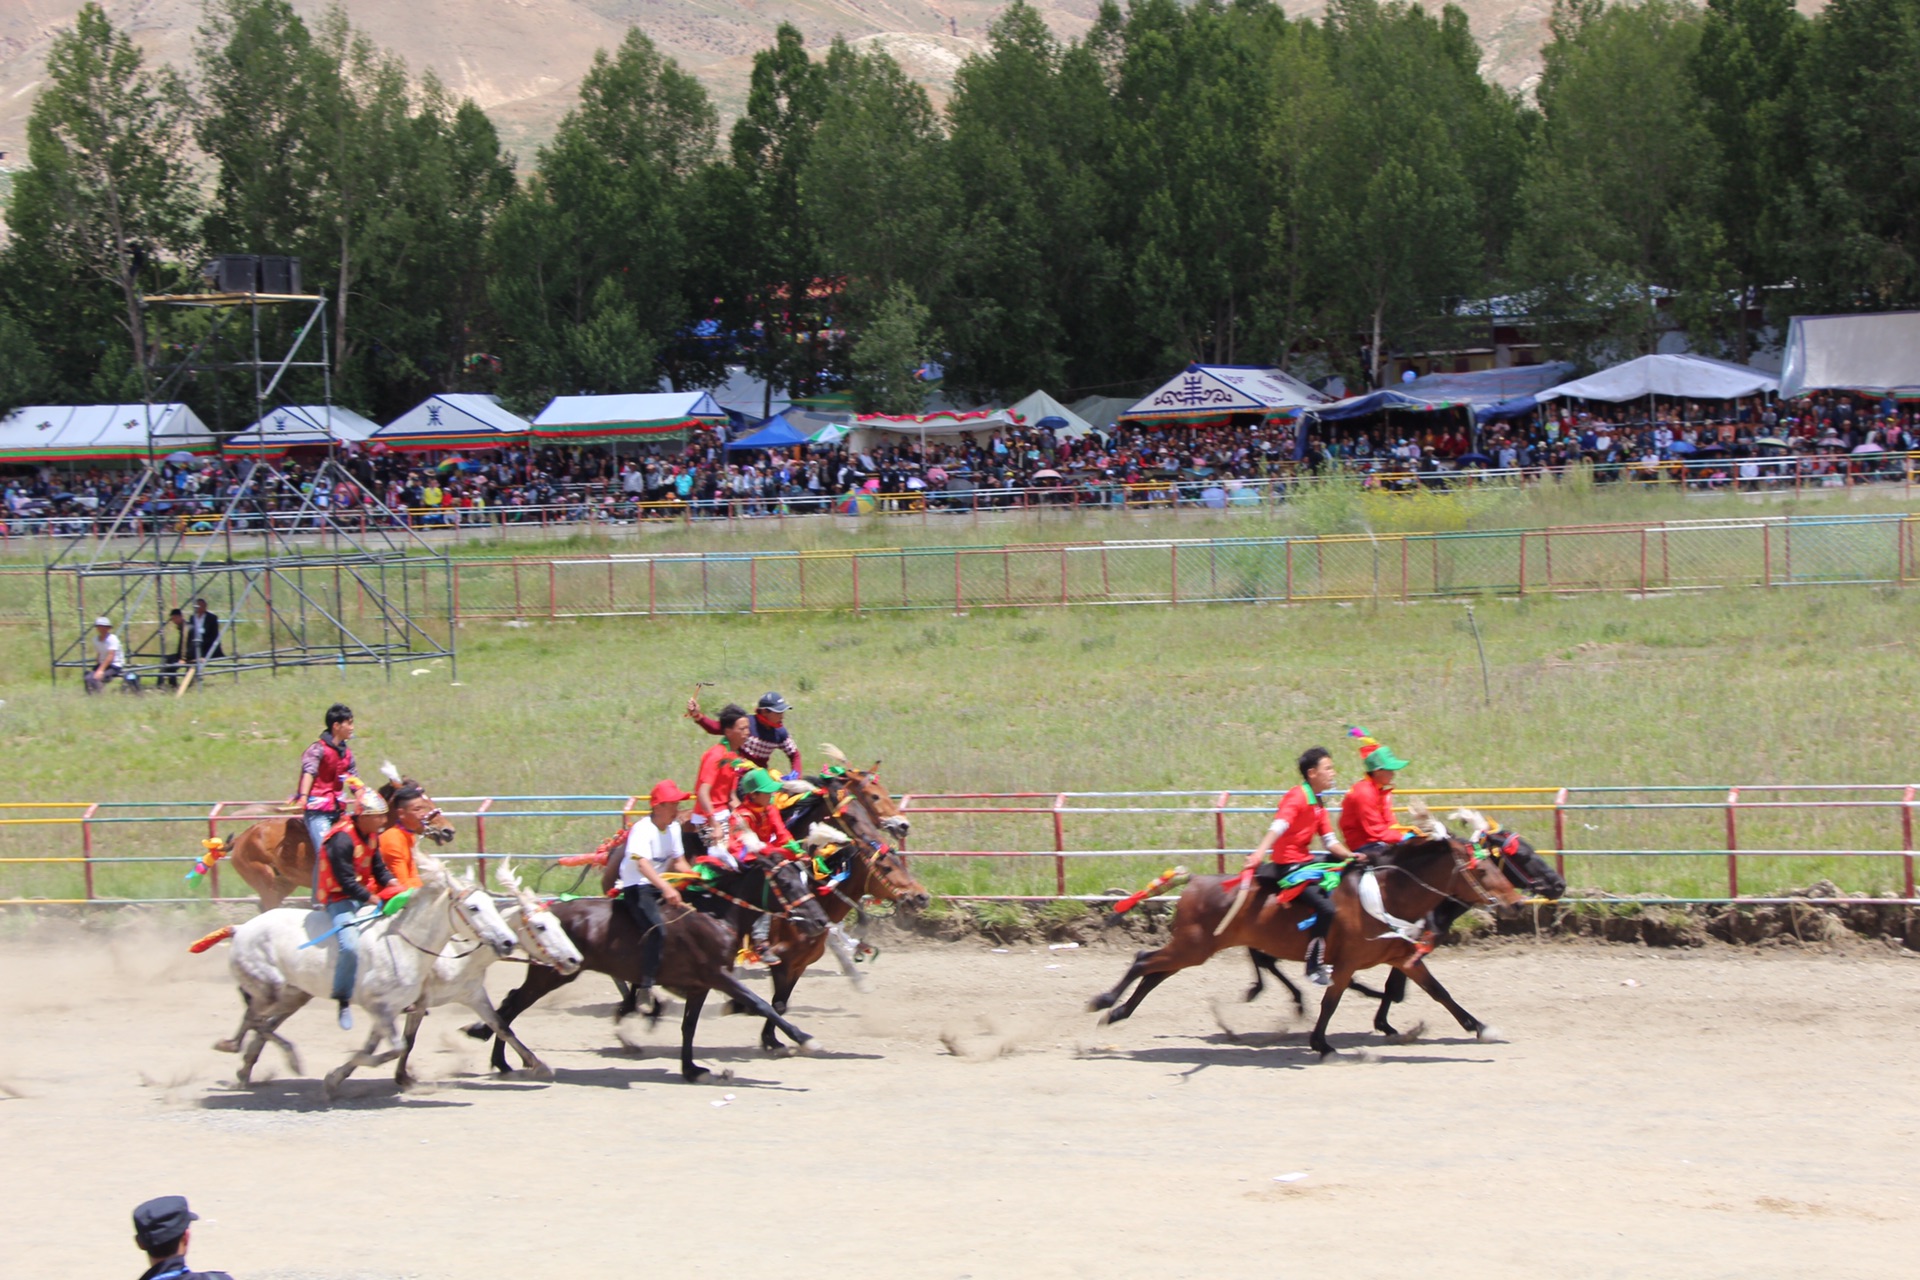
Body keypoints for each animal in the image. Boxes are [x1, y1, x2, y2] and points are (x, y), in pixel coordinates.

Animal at [222, 852, 518, 1105]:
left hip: (292, 994)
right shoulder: (380, 1007)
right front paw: (342, 1075)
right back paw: (278, 1056)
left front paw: (335, 1079)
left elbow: (379, 1047)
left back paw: (242, 1063)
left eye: (493, 904)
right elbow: (394, 1048)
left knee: (260, 1022)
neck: (403, 944)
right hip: (270, 989)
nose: (508, 942)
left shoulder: (392, 1009)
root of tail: (241, 928)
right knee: (256, 1019)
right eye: (473, 907)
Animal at [393, 859, 587, 1090]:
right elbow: (409, 1039)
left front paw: (536, 1064)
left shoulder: (474, 996)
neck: (455, 957)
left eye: (557, 922)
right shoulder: (420, 1004)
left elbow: (502, 1026)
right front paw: (402, 1077)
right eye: (540, 926)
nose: (574, 959)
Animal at [476, 855, 829, 1090]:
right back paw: (505, 1061)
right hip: (550, 975)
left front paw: (692, 1070)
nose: (821, 921)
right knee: (511, 1006)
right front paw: (805, 1039)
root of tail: (539, 914)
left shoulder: (699, 985)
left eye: (807, 880)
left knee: (509, 1005)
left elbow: (689, 1027)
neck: (716, 916)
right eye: (785, 883)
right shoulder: (718, 976)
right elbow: (762, 1004)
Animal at [1090, 836, 1520, 1059]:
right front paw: (1321, 1044)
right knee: (1143, 961)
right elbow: (1331, 1002)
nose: (1515, 902)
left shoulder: (1402, 958)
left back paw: (1119, 1011)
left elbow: (1440, 993)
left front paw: (1480, 1027)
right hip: (1192, 948)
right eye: (1483, 869)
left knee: (1153, 973)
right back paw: (1104, 1002)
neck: (1385, 895)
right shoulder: (1344, 965)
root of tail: (1195, 880)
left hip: (1192, 949)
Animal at [1236, 809, 1566, 1043]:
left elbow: (1414, 988)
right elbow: (1395, 989)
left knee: (1264, 960)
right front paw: (1385, 1023)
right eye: (1520, 855)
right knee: (1265, 960)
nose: (1559, 884)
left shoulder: (1402, 950)